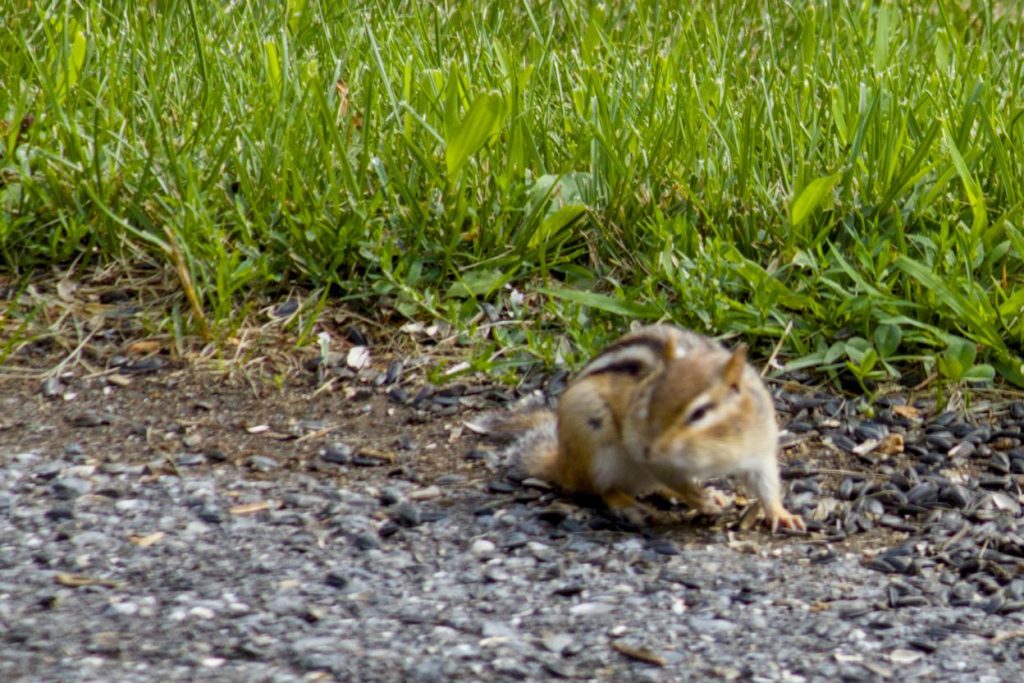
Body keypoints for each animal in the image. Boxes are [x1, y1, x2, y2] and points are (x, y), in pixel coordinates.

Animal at [470, 324, 806, 533]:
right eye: (649, 399)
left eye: (699, 412)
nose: (651, 449)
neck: (715, 447)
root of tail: (563, 462)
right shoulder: (651, 456)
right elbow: (675, 479)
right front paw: (701, 500)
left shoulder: (759, 447)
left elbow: (766, 484)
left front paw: (781, 514)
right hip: (595, 442)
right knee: (600, 488)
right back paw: (632, 506)